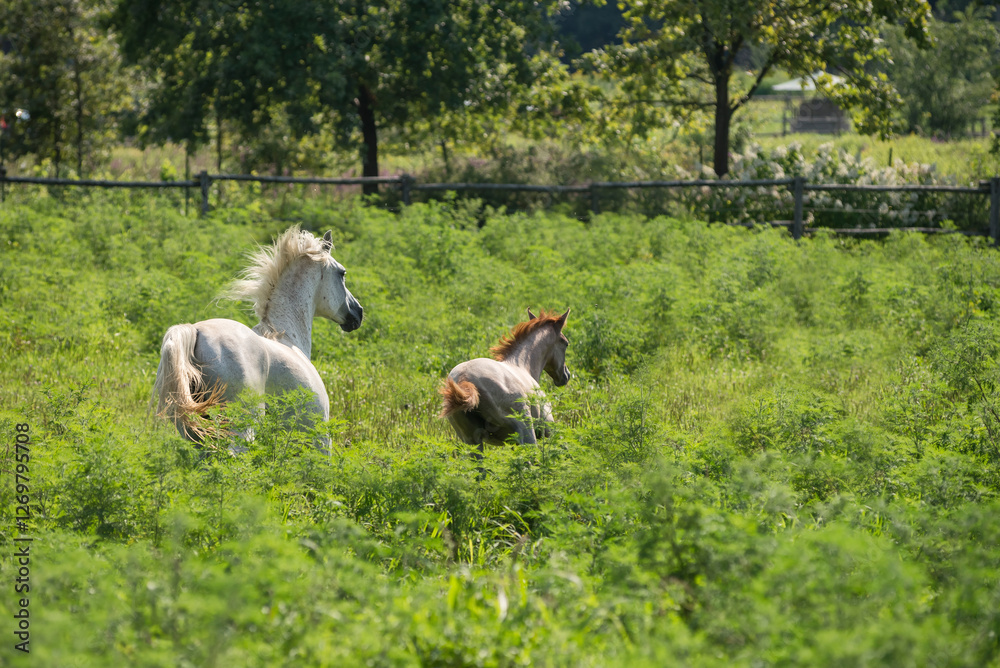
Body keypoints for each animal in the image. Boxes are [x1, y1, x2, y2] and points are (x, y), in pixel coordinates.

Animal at [153, 226, 363, 443]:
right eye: (342, 273)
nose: (358, 312)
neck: (288, 338)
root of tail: (195, 331)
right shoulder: (319, 435)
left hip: (196, 433)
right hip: (241, 428)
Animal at [440, 308, 570, 448]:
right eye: (566, 343)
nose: (566, 375)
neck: (522, 366)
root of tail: (464, 378)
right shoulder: (548, 427)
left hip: (472, 441)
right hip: (527, 430)